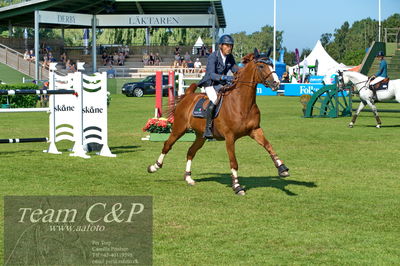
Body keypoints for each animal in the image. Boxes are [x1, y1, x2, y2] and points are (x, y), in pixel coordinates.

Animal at [145, 50, 290, 195]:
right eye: (261, 66)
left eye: (272, 65)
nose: (276, 83)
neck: (242, 103)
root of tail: (188, 96)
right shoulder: (230, 137)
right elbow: (233, 162)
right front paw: (237, 186)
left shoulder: (255, 130)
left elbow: (268, 146)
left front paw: (282, 168)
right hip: (179, 129)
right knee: (167, 145)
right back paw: (154, 167)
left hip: (200, 136)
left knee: (191, 151)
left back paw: (188, 178)